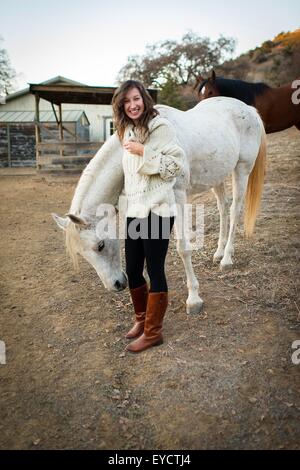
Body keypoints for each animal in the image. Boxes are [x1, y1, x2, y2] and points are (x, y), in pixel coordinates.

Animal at [52, 97, 266, 314]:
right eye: (81, 254)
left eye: (100, 245)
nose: (116, 285)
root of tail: (249, 110)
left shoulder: (177, 197)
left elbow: (183, 249)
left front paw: (194, 299)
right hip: (217, 177)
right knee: (223, 207)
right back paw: (219, 253)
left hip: (242, 170)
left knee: (234, 210)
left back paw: (226, 259)